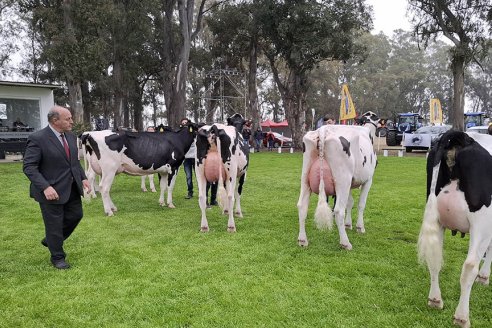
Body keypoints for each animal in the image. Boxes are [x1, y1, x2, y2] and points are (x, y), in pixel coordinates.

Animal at [296, 110, 380, 249]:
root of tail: (323, 130)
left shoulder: (351, 183)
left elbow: (350, 203)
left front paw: (348, 224)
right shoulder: (368, 180)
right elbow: (361, 204)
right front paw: (359, 227)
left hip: (305, 176)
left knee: (302, 206)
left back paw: (302, 240)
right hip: (342, 179)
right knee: (338, 211)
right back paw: (345, 243)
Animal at [418, 129, 492, 326]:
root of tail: (462, 137)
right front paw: (484, 276)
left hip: (437, 218)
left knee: (434, 259)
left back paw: (435, 300)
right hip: (481, 223)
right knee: (469, 266)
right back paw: (462, 317)